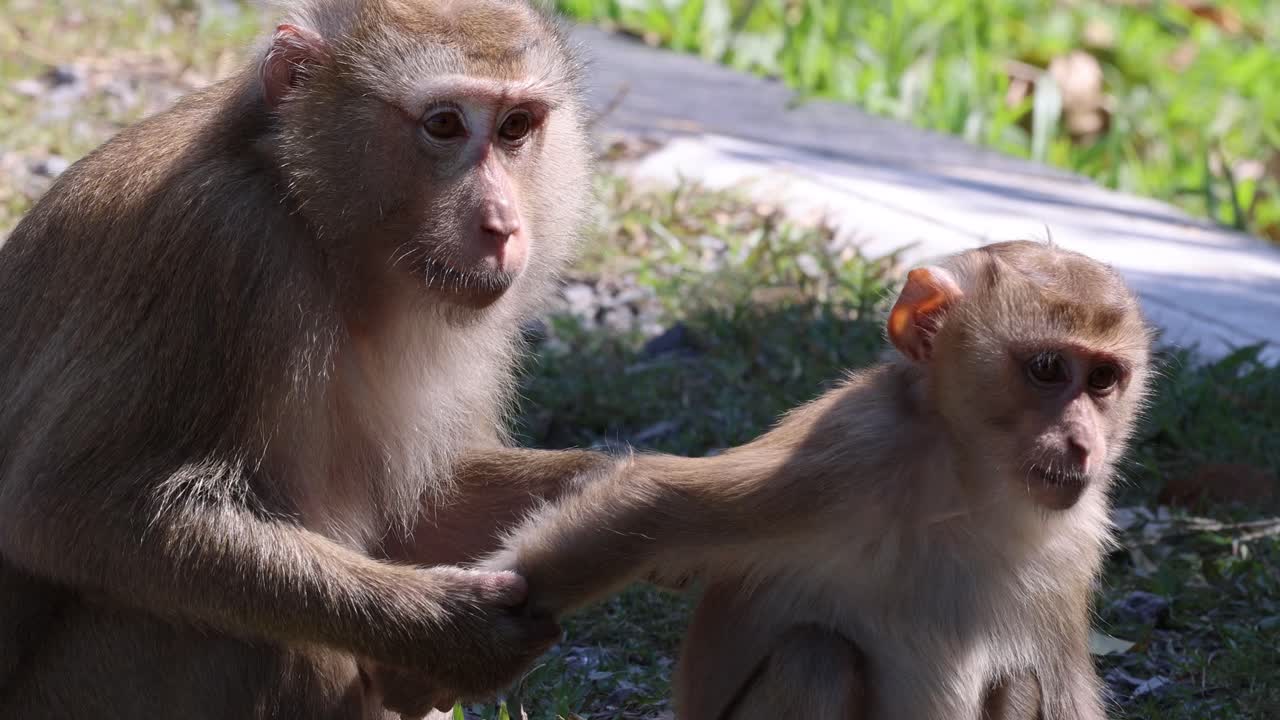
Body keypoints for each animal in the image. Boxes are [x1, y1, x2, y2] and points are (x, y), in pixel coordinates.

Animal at [0, 0, 617, 717]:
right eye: (444, 125)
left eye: (516, 126)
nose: (502, 224)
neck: (313, 224)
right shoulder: (223, 249)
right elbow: (68, 509)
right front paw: (449, 631)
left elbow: (424, 511)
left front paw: (600, 487)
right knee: (271, 643)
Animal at [481, 240, 1154, 720]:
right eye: (1047, 369)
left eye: (1103, 380)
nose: (1084, 443)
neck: (967, 484)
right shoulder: (848, 450)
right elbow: (656, 502)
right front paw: (471, 633)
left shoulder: (1075, 537)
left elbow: (1060, 689)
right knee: (815, 657)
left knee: (1019, 682)